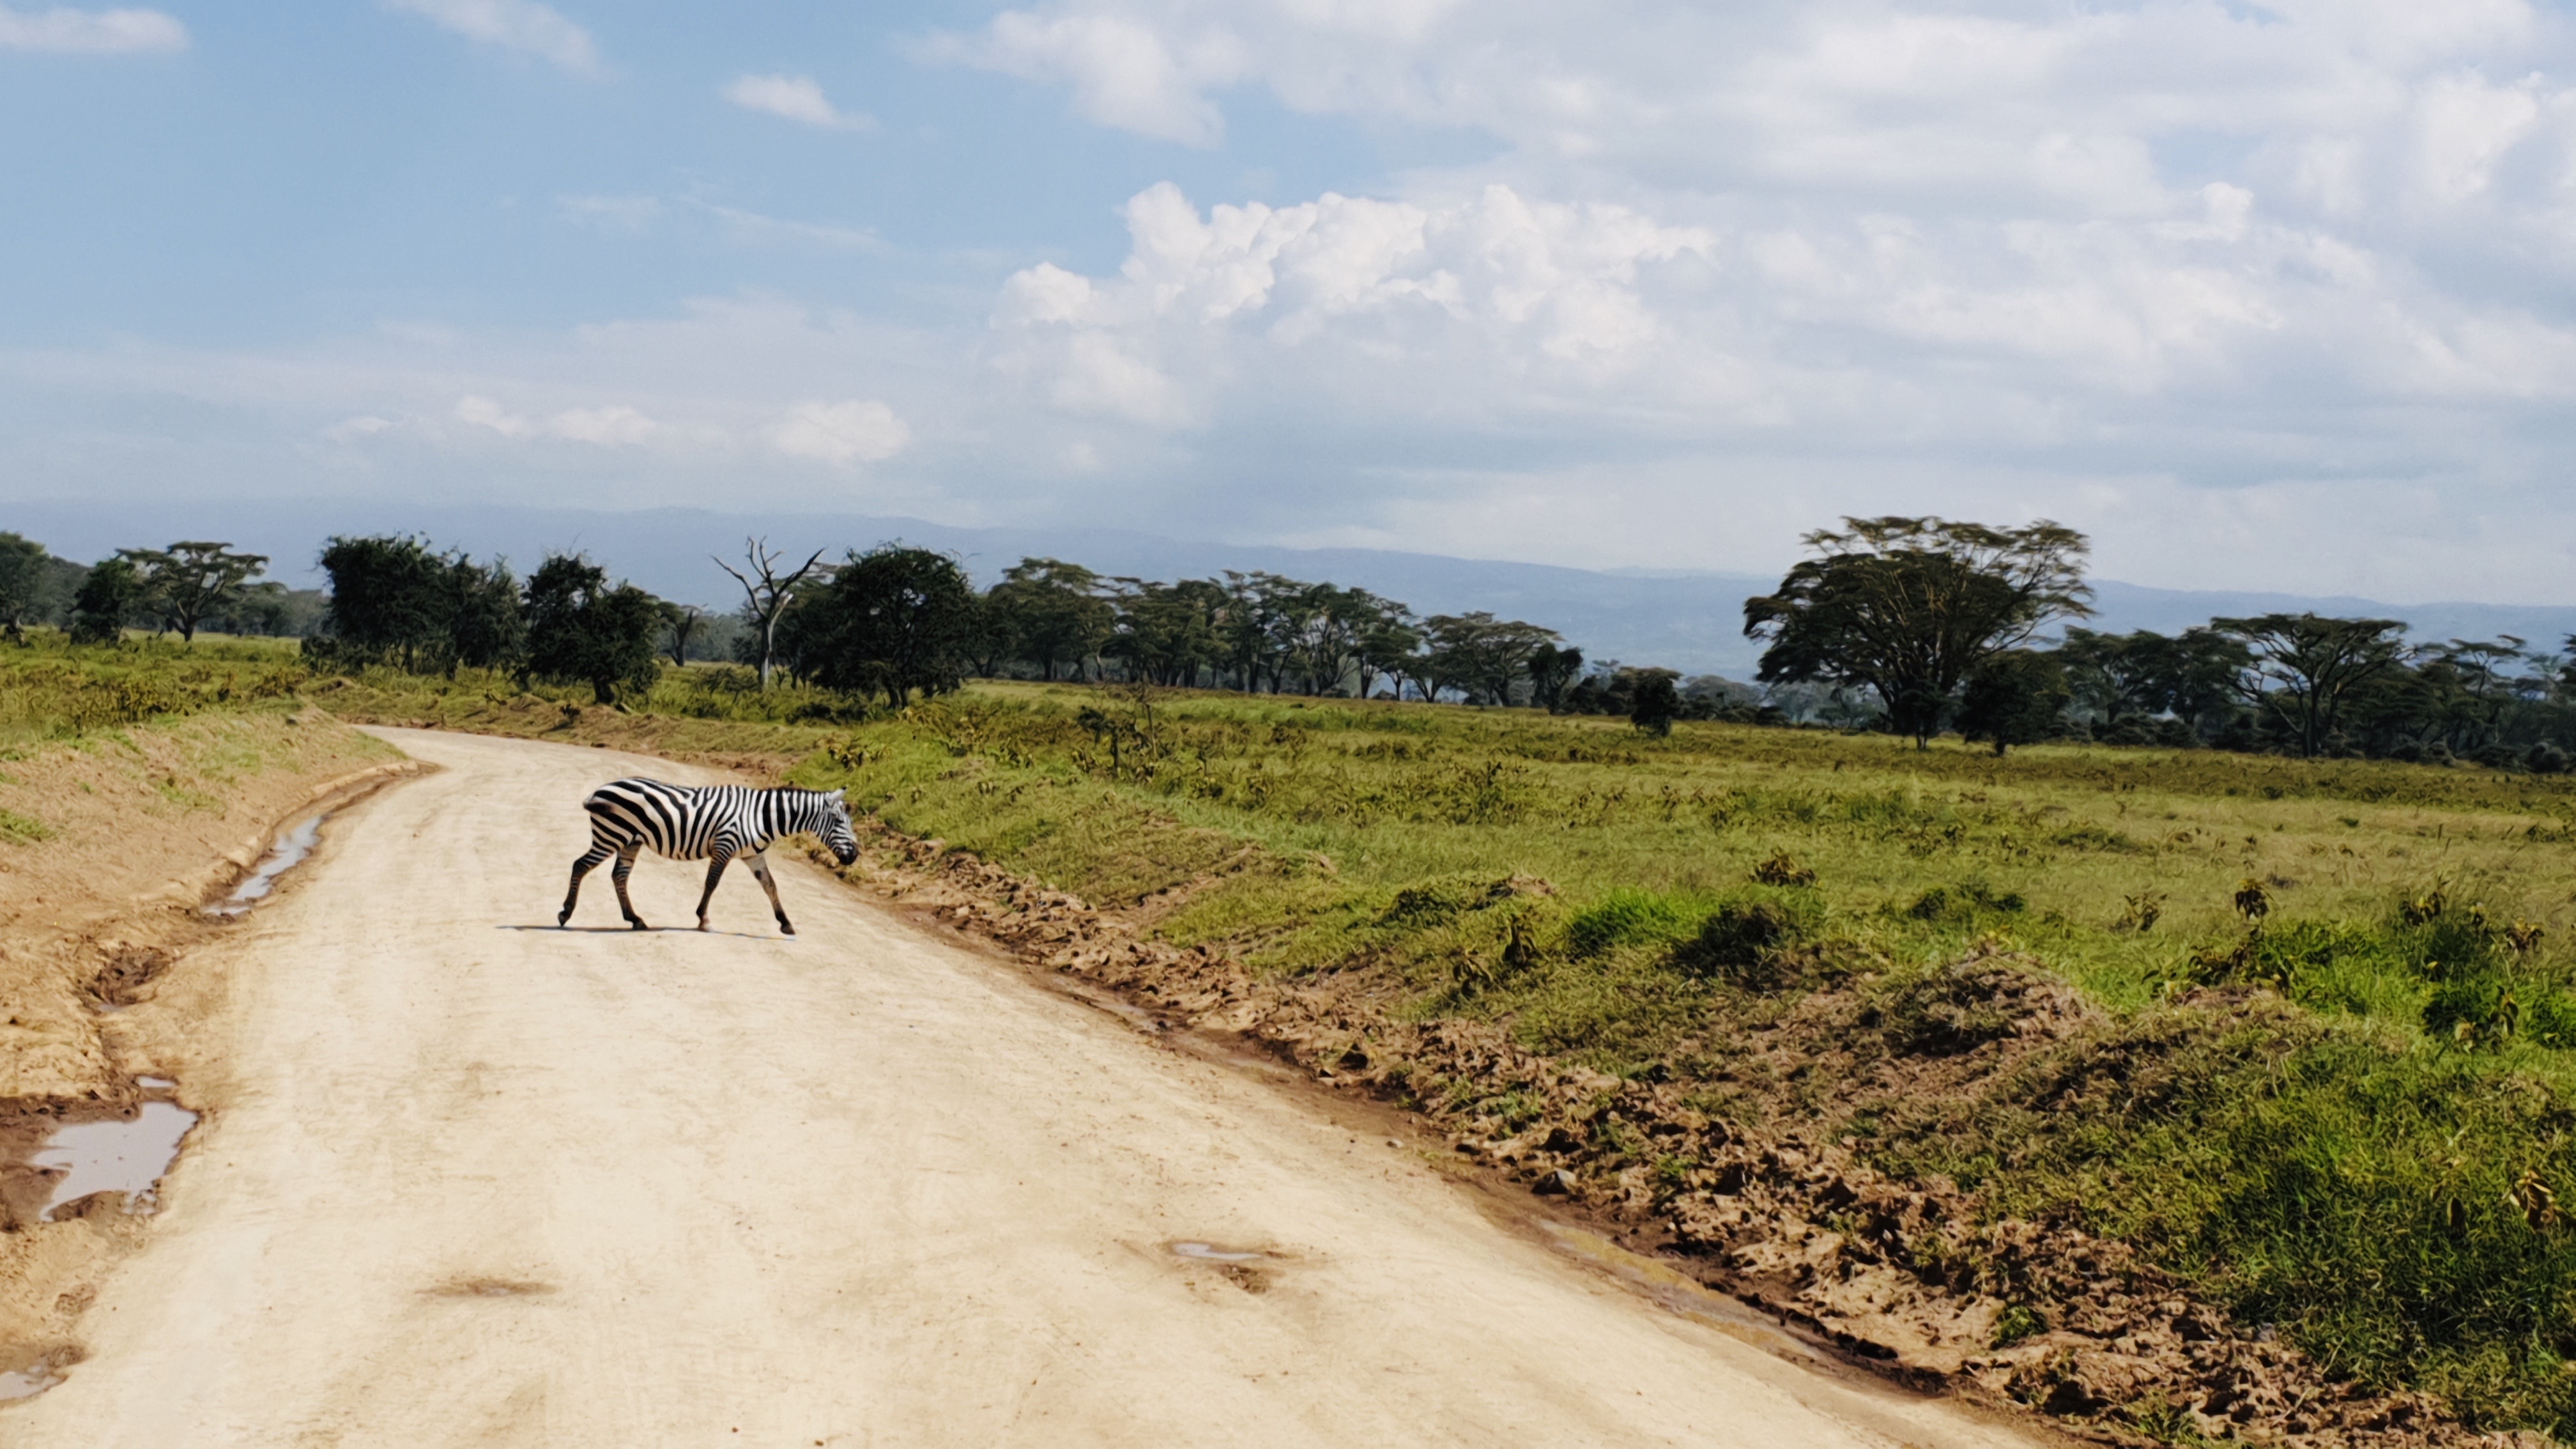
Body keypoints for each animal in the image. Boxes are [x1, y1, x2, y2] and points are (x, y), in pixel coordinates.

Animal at [558, 773, 860, 928]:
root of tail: (601, 788)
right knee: (580, 865)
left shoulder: (754, 855)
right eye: (838, 821)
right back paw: (565, 913)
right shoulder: (725, 845)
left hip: (630, 840)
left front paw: (785, 923)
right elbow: (712, 882)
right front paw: (703, 919)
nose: (855, 856)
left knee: (619, 876)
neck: (760, 816)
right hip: (611, 834)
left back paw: (635, 919)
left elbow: (771, 886)